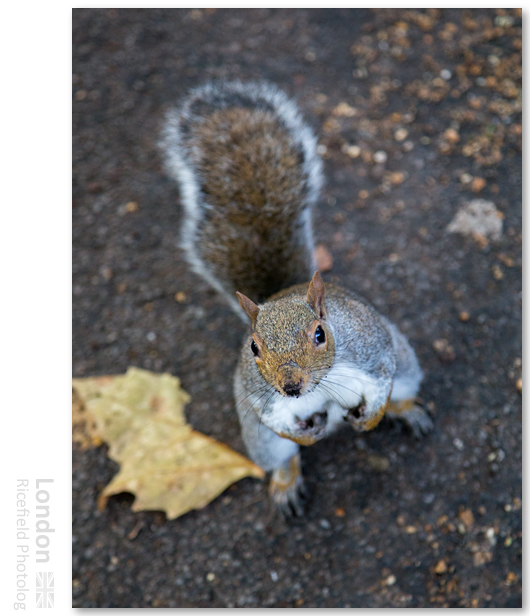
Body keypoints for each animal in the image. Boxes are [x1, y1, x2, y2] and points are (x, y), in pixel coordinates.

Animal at [160, 82, 428, 516]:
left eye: (320, 334)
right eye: (253, 347)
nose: (290, 387)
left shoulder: (374, 353)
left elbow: (382, 383)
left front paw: (370, 420)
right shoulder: (262, 401)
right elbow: (274, 419)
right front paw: (304, 437)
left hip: (407, 365)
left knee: (400, 389)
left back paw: (406, 412)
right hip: (262, 443)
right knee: (280, 457)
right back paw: (287, 482)